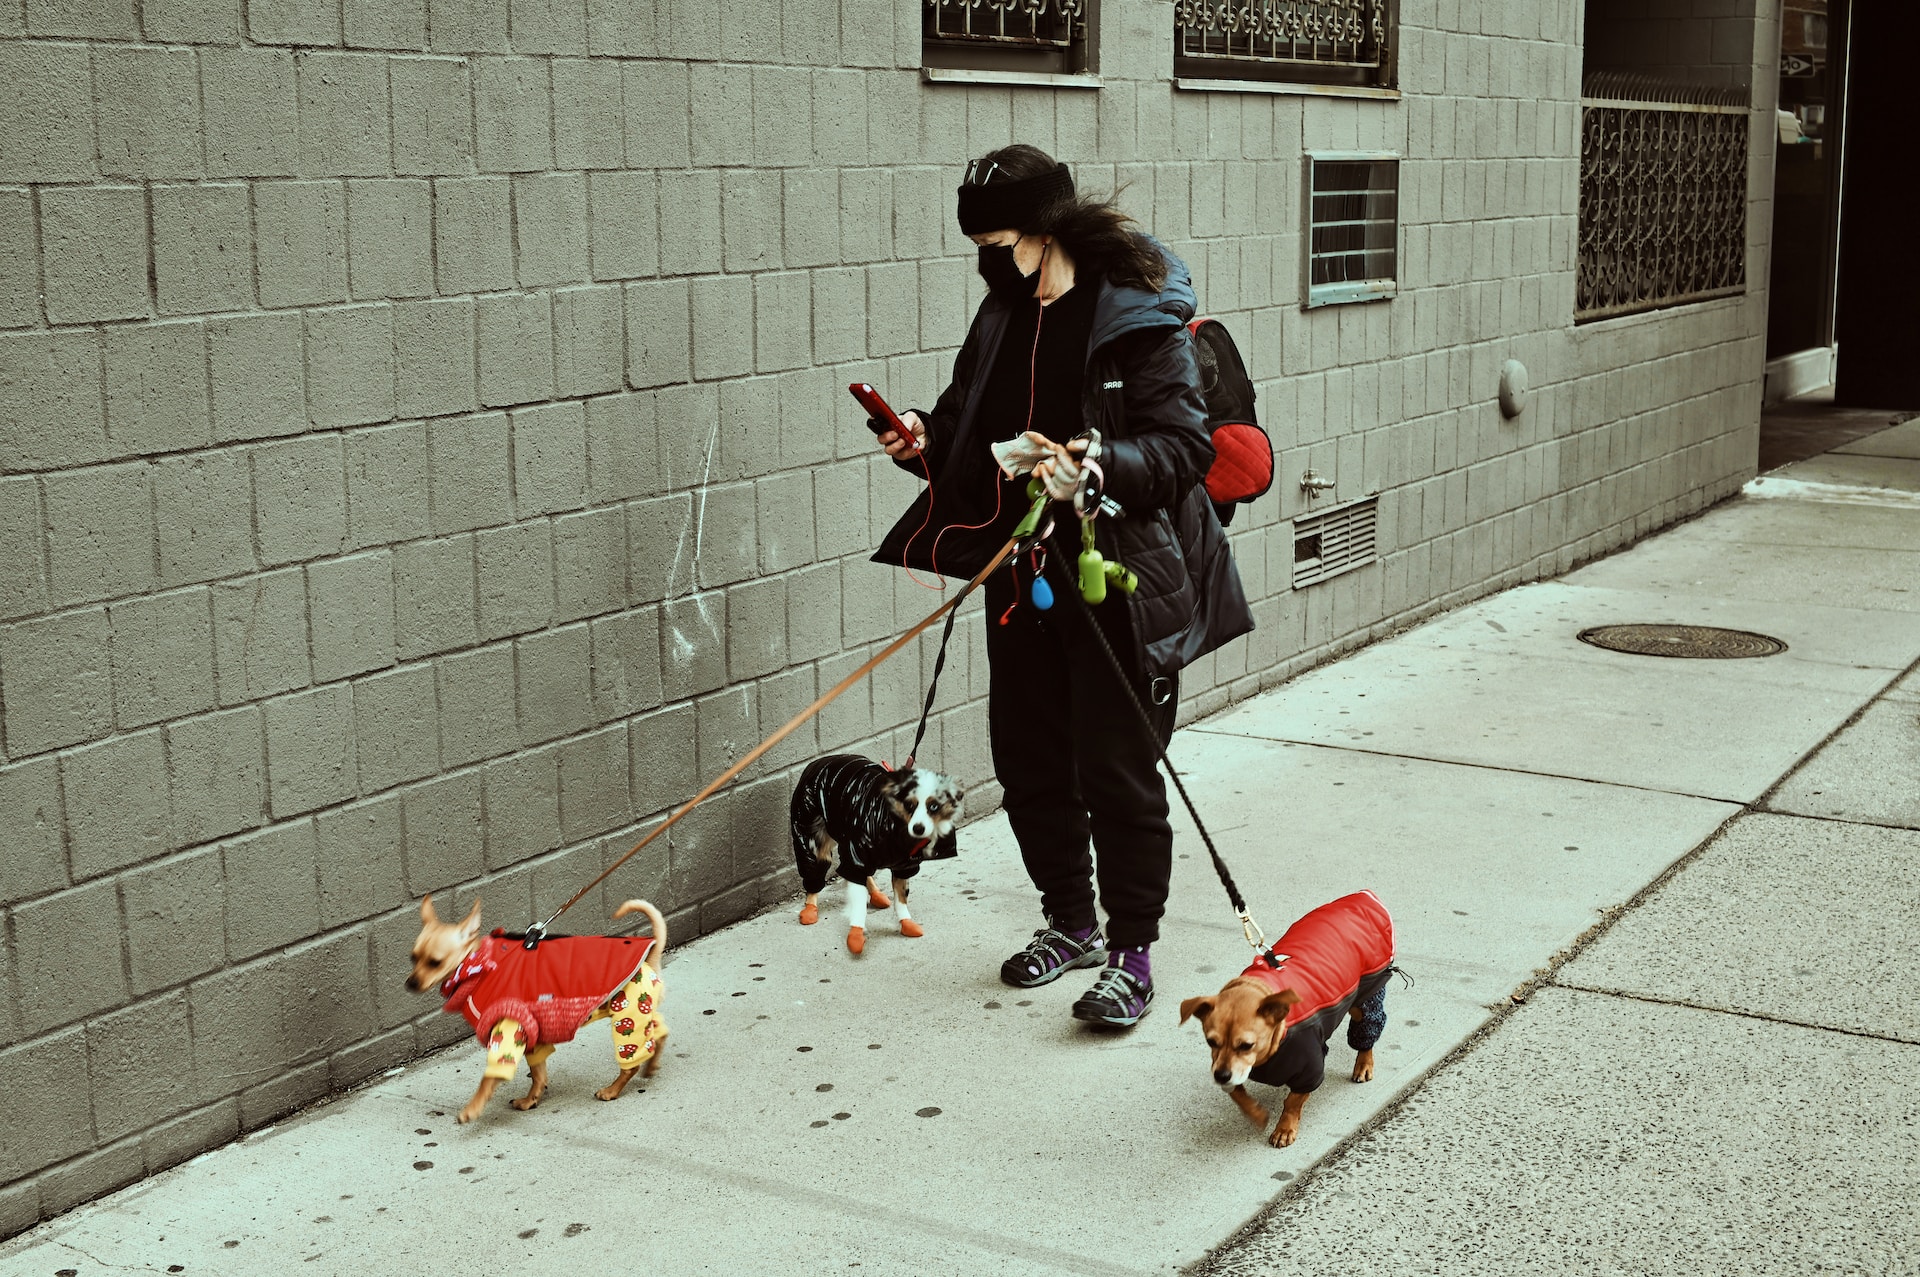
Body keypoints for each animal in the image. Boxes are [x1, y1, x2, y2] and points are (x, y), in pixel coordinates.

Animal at [405, 891, 668, 1121]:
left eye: (435, 962)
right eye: (413, 958)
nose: (409, 983)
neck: (478, 967)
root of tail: (650, 960)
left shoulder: (508, 1032)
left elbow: (490, 1077)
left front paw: (473, 1108)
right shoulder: (530, 1034)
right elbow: (539, 1075)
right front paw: (530, 1099)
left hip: (628, 1017)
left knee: (632, 1061)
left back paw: (613, 1089)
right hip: (641, 1011)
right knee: (659, 1033)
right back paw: (652, 1066)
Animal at [787, 752, 960, 952]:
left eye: (934, 807)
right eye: (909, 805)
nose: (919, 828)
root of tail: (818, 761)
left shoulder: (903, 867)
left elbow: (901, 898)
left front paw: (906, 922)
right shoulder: (858, 852)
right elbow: (858, 900)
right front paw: (856, 934)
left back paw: (876, 894)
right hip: (811, 833)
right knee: (816, 866)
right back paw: (810, 907)